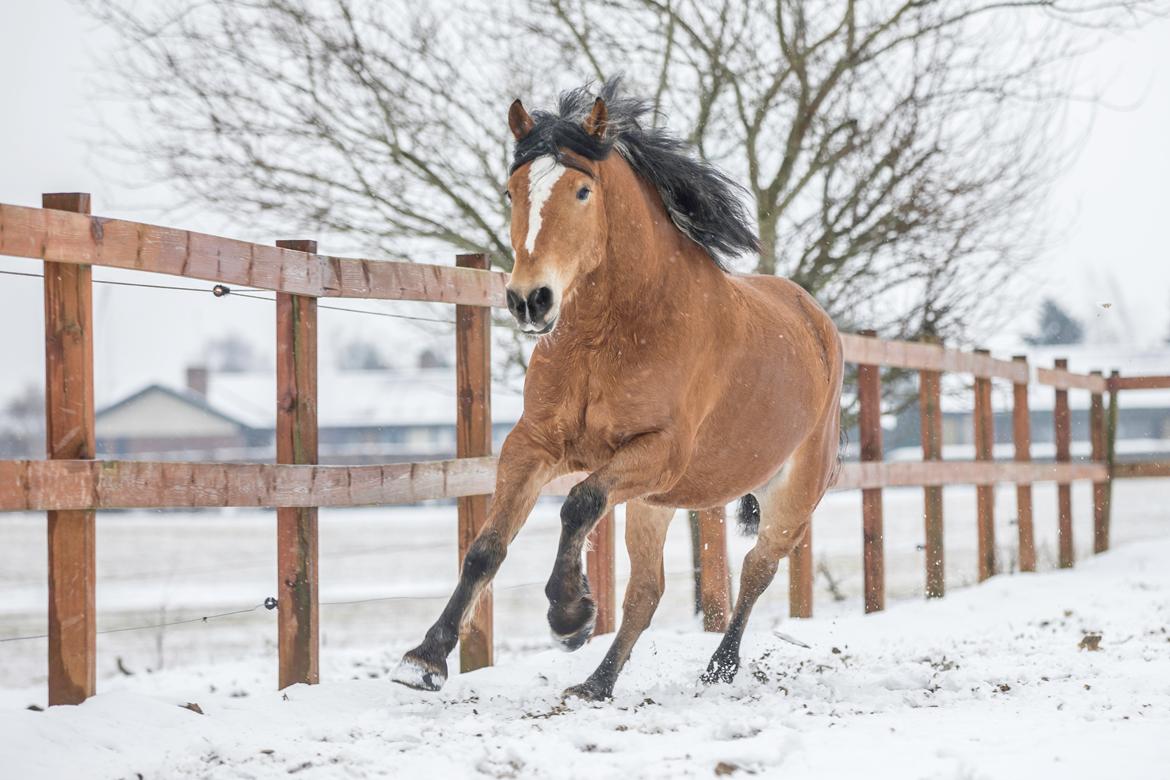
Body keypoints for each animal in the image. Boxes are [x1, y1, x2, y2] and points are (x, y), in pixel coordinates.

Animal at [393, 80, 842, 701]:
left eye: (583, 190)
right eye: (511, 190)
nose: (529, 300)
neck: (609, 336)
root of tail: (815, 319)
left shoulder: (661, 453)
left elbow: (578, 503)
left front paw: (570, 616)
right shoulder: (535, 444)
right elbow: (487, 547)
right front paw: (424, 659)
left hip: (790, 496)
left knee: (757, 568)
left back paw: (718, 668)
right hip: (653, 505)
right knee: (646, 592)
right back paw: (596, 684)